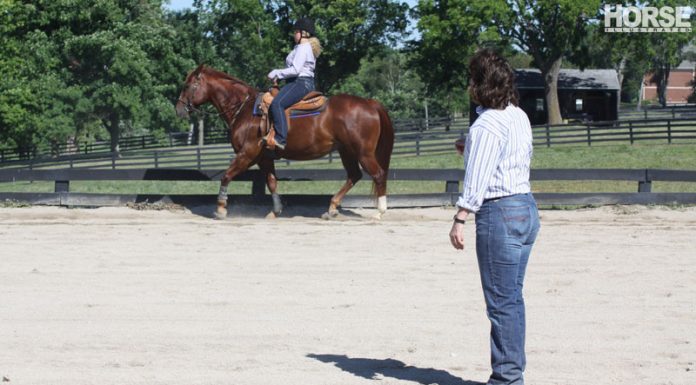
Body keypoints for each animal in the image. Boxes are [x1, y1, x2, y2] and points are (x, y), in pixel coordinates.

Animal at [174, 65, 394, 219]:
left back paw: (379, 212)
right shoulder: (264, 158)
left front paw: (220, 209)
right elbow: (272, 182)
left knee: (378, 175)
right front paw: (276, 211)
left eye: (187, 86)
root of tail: (370, 103)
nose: (179, 109)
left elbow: (226, 176)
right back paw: (331, 208)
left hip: (363, 153)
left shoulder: (247, 154)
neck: (244, 110)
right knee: (354, 175)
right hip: (346, 151)